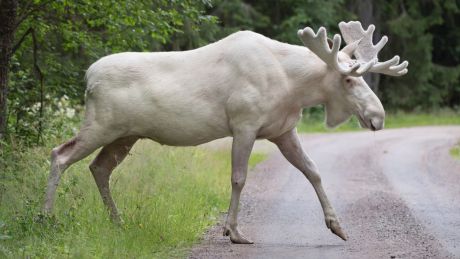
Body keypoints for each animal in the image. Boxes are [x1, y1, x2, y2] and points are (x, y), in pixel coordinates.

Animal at [45, 21, 408, 245]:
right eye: (348, 79)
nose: (378, 117)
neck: (293, 87)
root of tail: (88, 77)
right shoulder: (244, 124)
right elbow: (238, 178)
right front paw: (233, 231)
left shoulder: (282, 130)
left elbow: (314, 171)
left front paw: (337, 226)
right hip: (101, 124)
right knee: (59, 154)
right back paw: (46, 218)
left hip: (125, 135)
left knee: (99, 167)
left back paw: (117, 222)